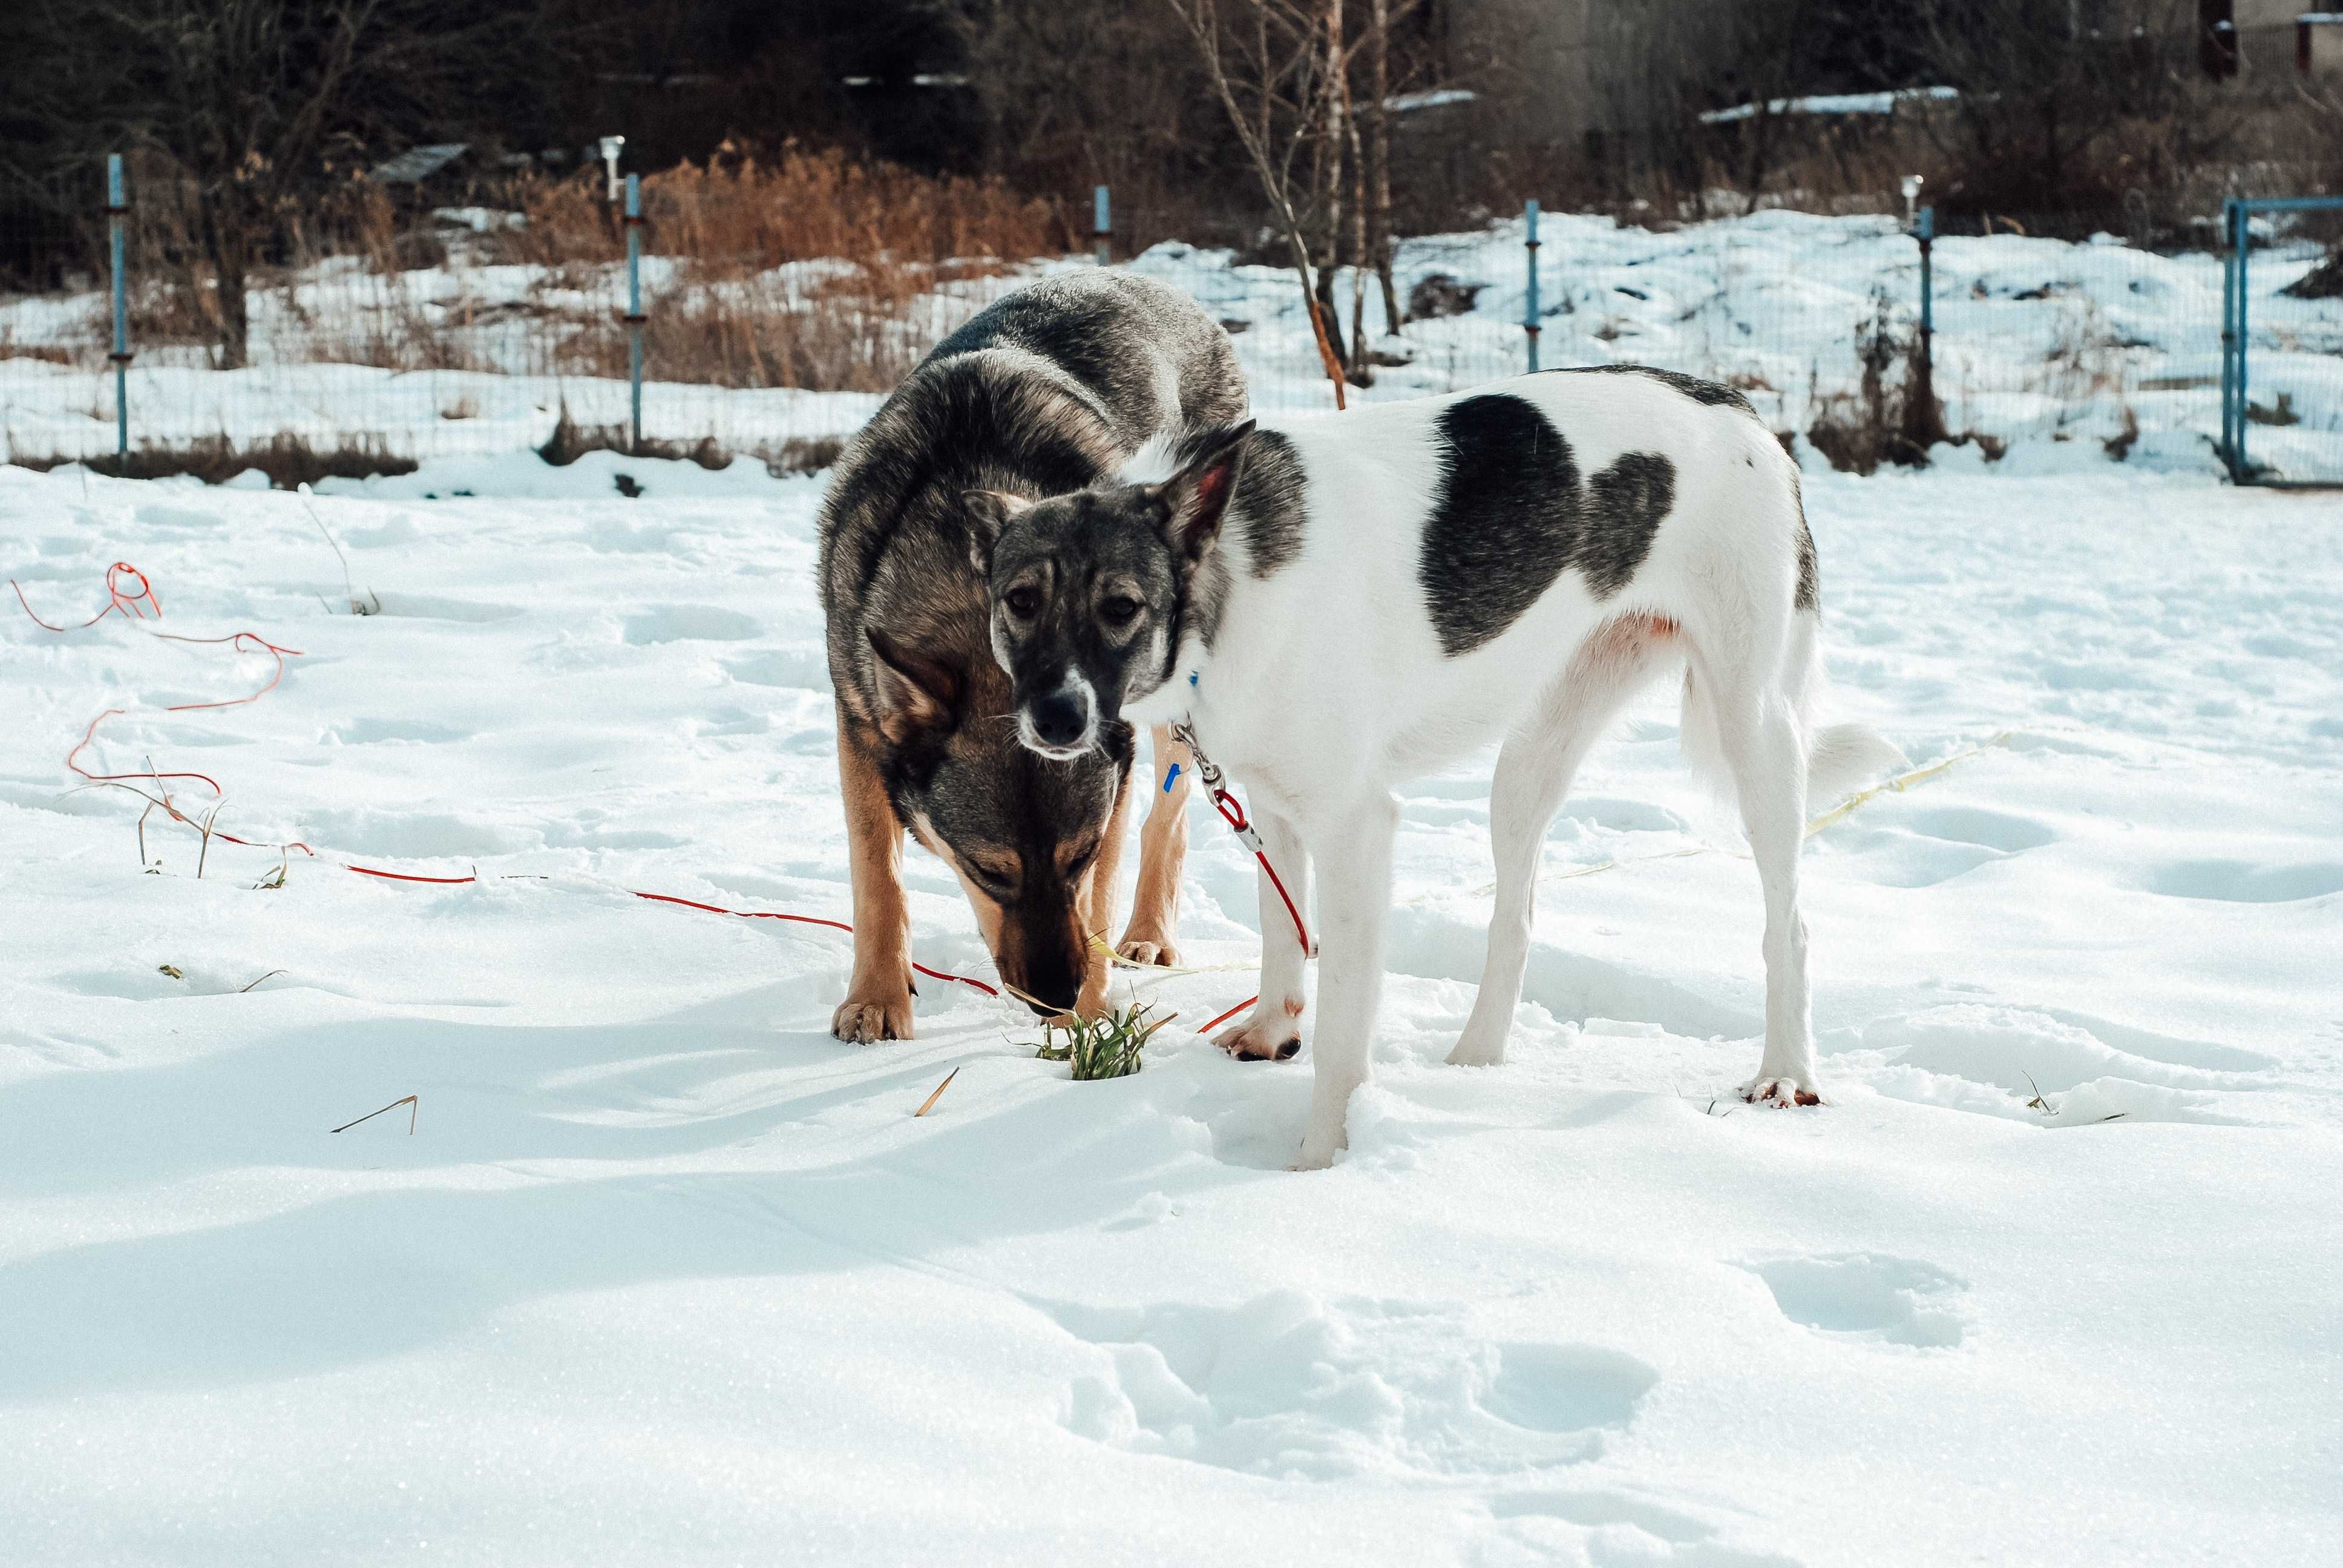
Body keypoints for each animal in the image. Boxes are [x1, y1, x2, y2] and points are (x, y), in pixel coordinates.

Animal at [815, 272, 1246, 1040]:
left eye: (1078, 857)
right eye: (990, 872)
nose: (1055, 995)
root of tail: (1168, 288)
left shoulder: (1110, 784)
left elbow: (1100, 896)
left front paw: (1096, 1015)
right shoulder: (858, 722)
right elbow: (877, 878)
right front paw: (875, 1000)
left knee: (1169, 819)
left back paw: (1148, 935)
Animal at [970, 373, 1902, 1167]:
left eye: (1121, 607)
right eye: (1019, 602)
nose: (1054, 720)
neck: (1221, 594)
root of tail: (1739, 409)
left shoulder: (1355, 826)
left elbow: (1342, 1033)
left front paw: (1319, 1163)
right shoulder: (1273, 802)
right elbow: (1281, 934)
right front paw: (1273, 1031)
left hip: (1757, 736)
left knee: (1789, 926)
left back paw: (1786, 1072)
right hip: (1527, 764)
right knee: (1515, 921)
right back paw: (1475, 1062)